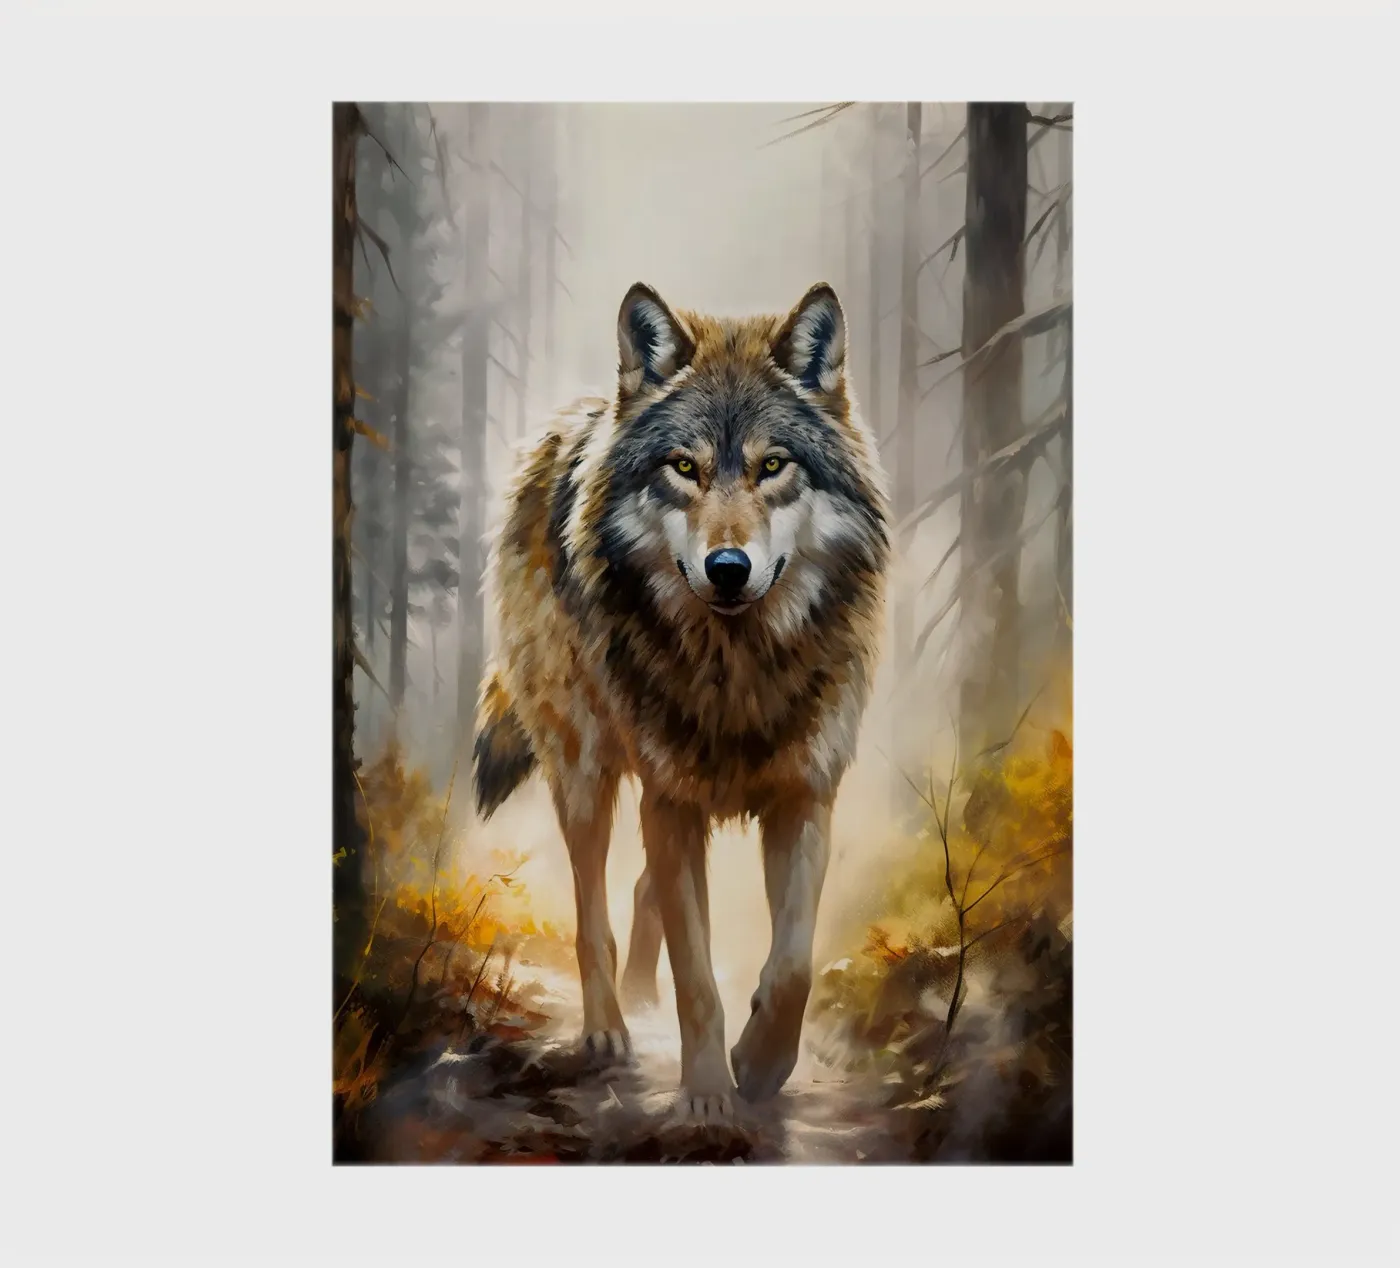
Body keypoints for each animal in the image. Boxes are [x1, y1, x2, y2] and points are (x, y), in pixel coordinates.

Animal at [472, 281, 889, 1121]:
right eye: (684, 467)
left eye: (772, 465)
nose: (727, 567)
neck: (738, 671)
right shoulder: (669, 800)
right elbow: (697, 975)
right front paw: (706, 1096)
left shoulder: (804, 796)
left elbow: (793, 966)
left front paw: (758, 1064)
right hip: (586, 772)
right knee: (593, 910)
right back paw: (609, 1028)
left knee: (643, 893)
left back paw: (641, 995)